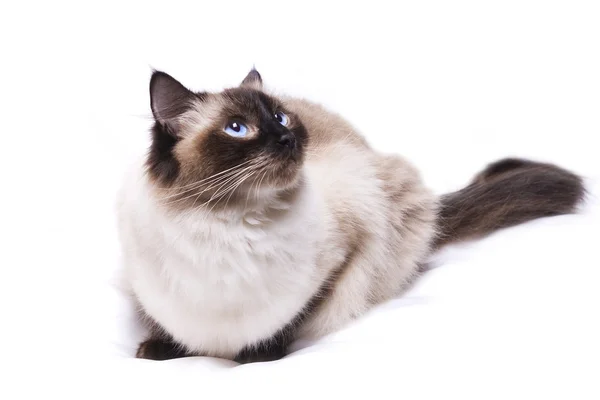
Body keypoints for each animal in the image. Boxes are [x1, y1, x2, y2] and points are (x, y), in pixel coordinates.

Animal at [115, 68, 584, 362]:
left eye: (281, 117)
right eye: (238, 129)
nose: (286, 137)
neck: (228, 223)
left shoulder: (341, 259)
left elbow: (287, 322)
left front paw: (258, 356)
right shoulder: (147, 286)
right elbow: (161, 322)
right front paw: (157, 350)